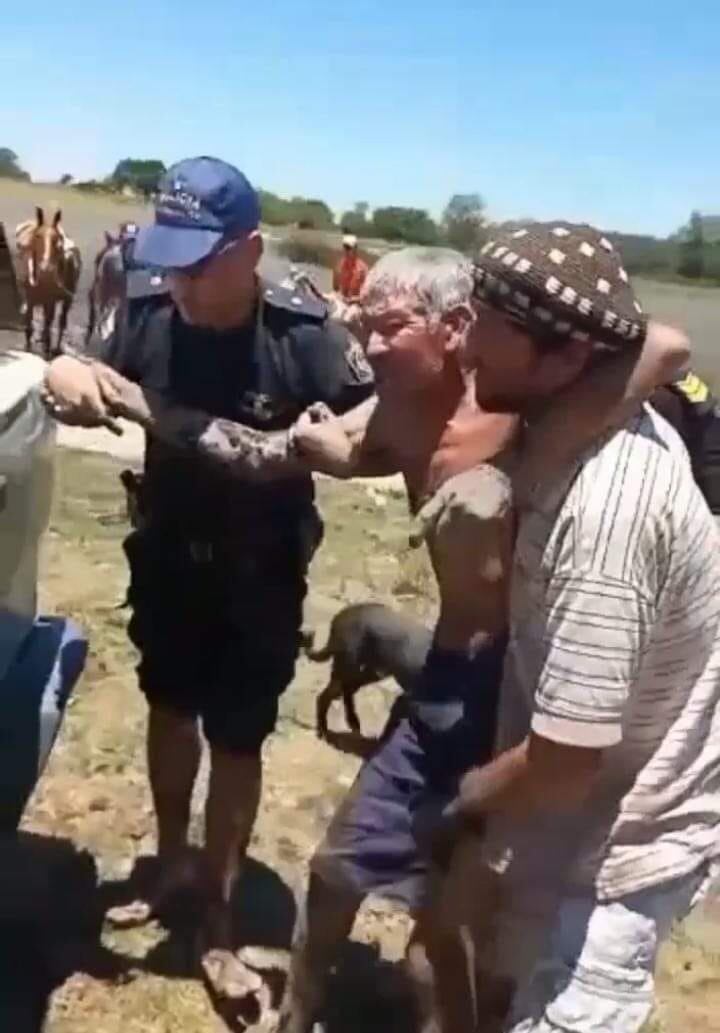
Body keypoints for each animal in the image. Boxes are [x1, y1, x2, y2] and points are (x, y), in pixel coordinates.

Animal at [15, 205, 81, 359]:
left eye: (56, 238)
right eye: (38, 236)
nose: (46, 268)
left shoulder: (50, 301)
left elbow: (48, 325)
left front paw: (47, 349)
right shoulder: (30, 298)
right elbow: (29, 323)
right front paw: (28, 346)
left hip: (66, 300)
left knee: (61, 322)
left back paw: (54, 347)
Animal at [303, 603, 431, 739]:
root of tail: (342, 614)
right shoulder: (406, 700)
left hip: (371, 672)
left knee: (345, 691)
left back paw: (352, 722)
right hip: (349, 667)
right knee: (327, 696)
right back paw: (324, 728)